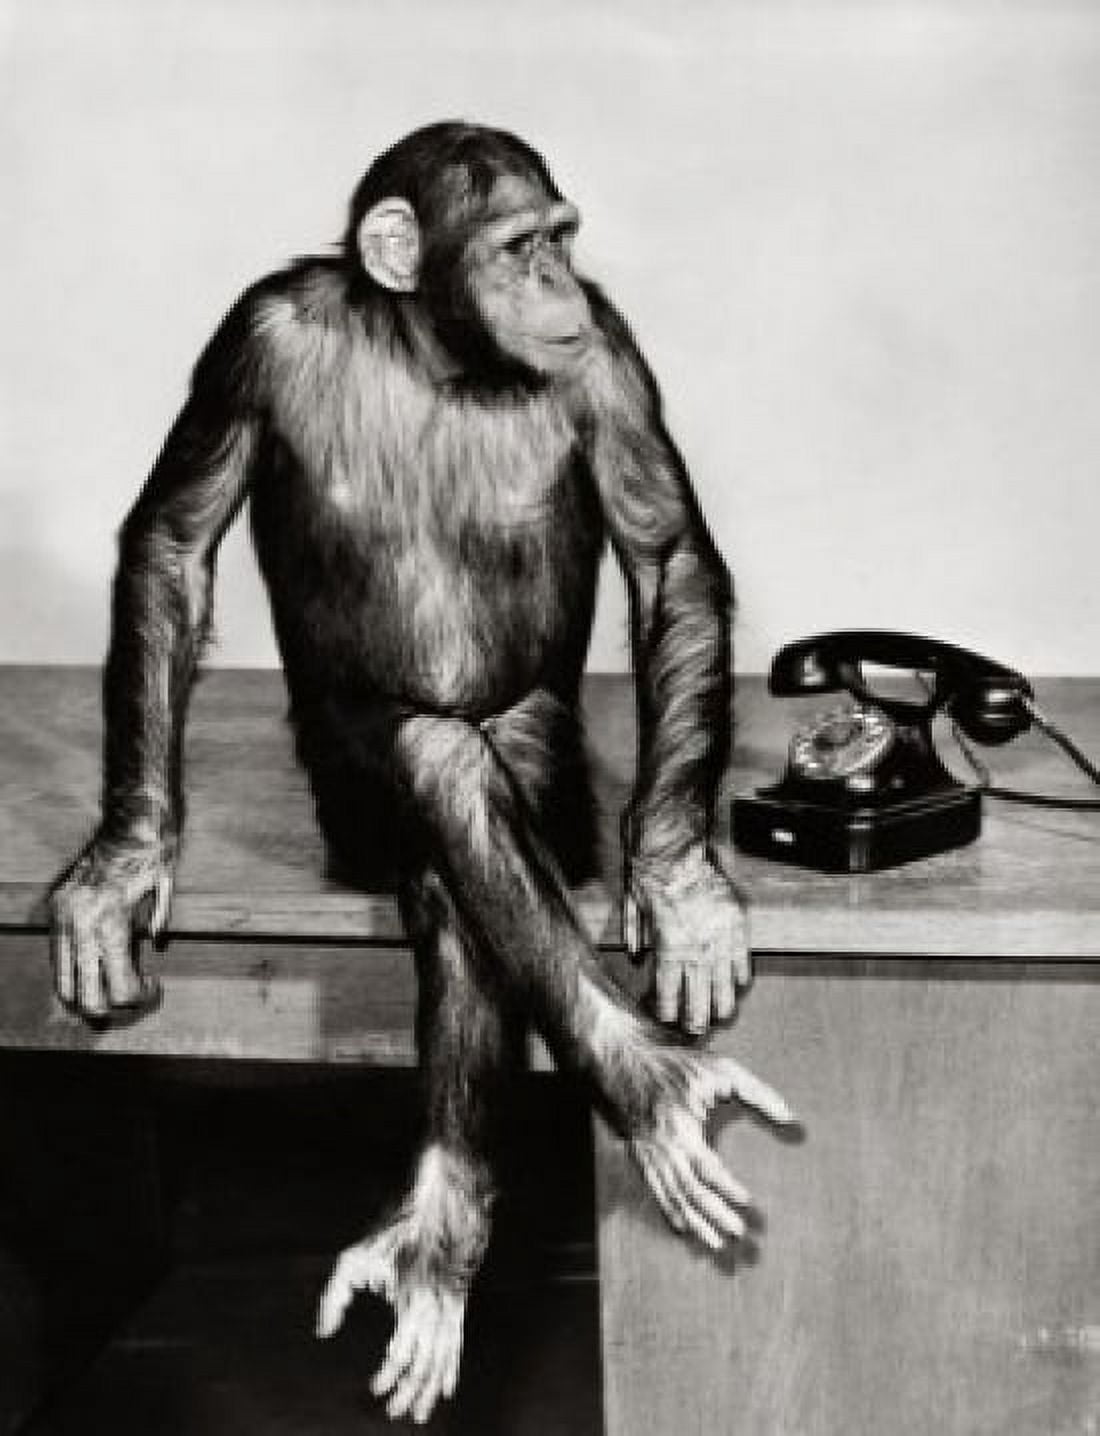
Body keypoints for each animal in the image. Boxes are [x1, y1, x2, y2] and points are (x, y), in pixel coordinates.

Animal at [49, 122, 792, 1424]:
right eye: (515, 244)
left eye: (559, 243)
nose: (550, 281)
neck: (431, 339)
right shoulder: (249, 337)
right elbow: (174, 543)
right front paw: (122, 859)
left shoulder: (608, 348)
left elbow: (666, 559)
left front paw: (678, 877)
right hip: (345, 790)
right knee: (432, 761)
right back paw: (546, 1152)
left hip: (548, 753)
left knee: (496, 774)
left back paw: (537, 1154)